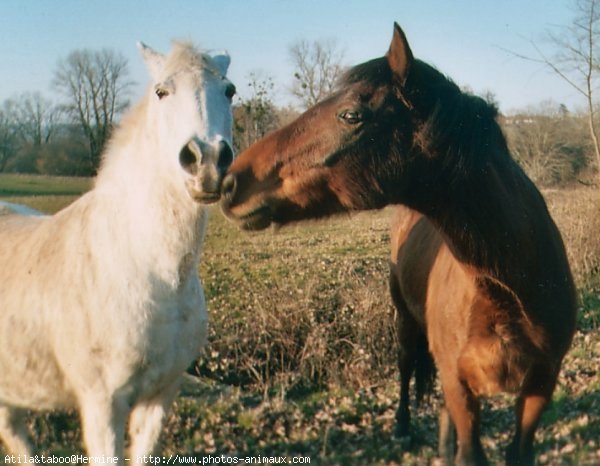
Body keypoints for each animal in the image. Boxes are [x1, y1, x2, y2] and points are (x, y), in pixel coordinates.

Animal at [220, 22, 576, 466]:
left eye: (351, 115)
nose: (230, 181)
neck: (511, 294)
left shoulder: (539, 387)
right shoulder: (460, 384)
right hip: (405, 321)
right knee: (406, 366)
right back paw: (403, 427)